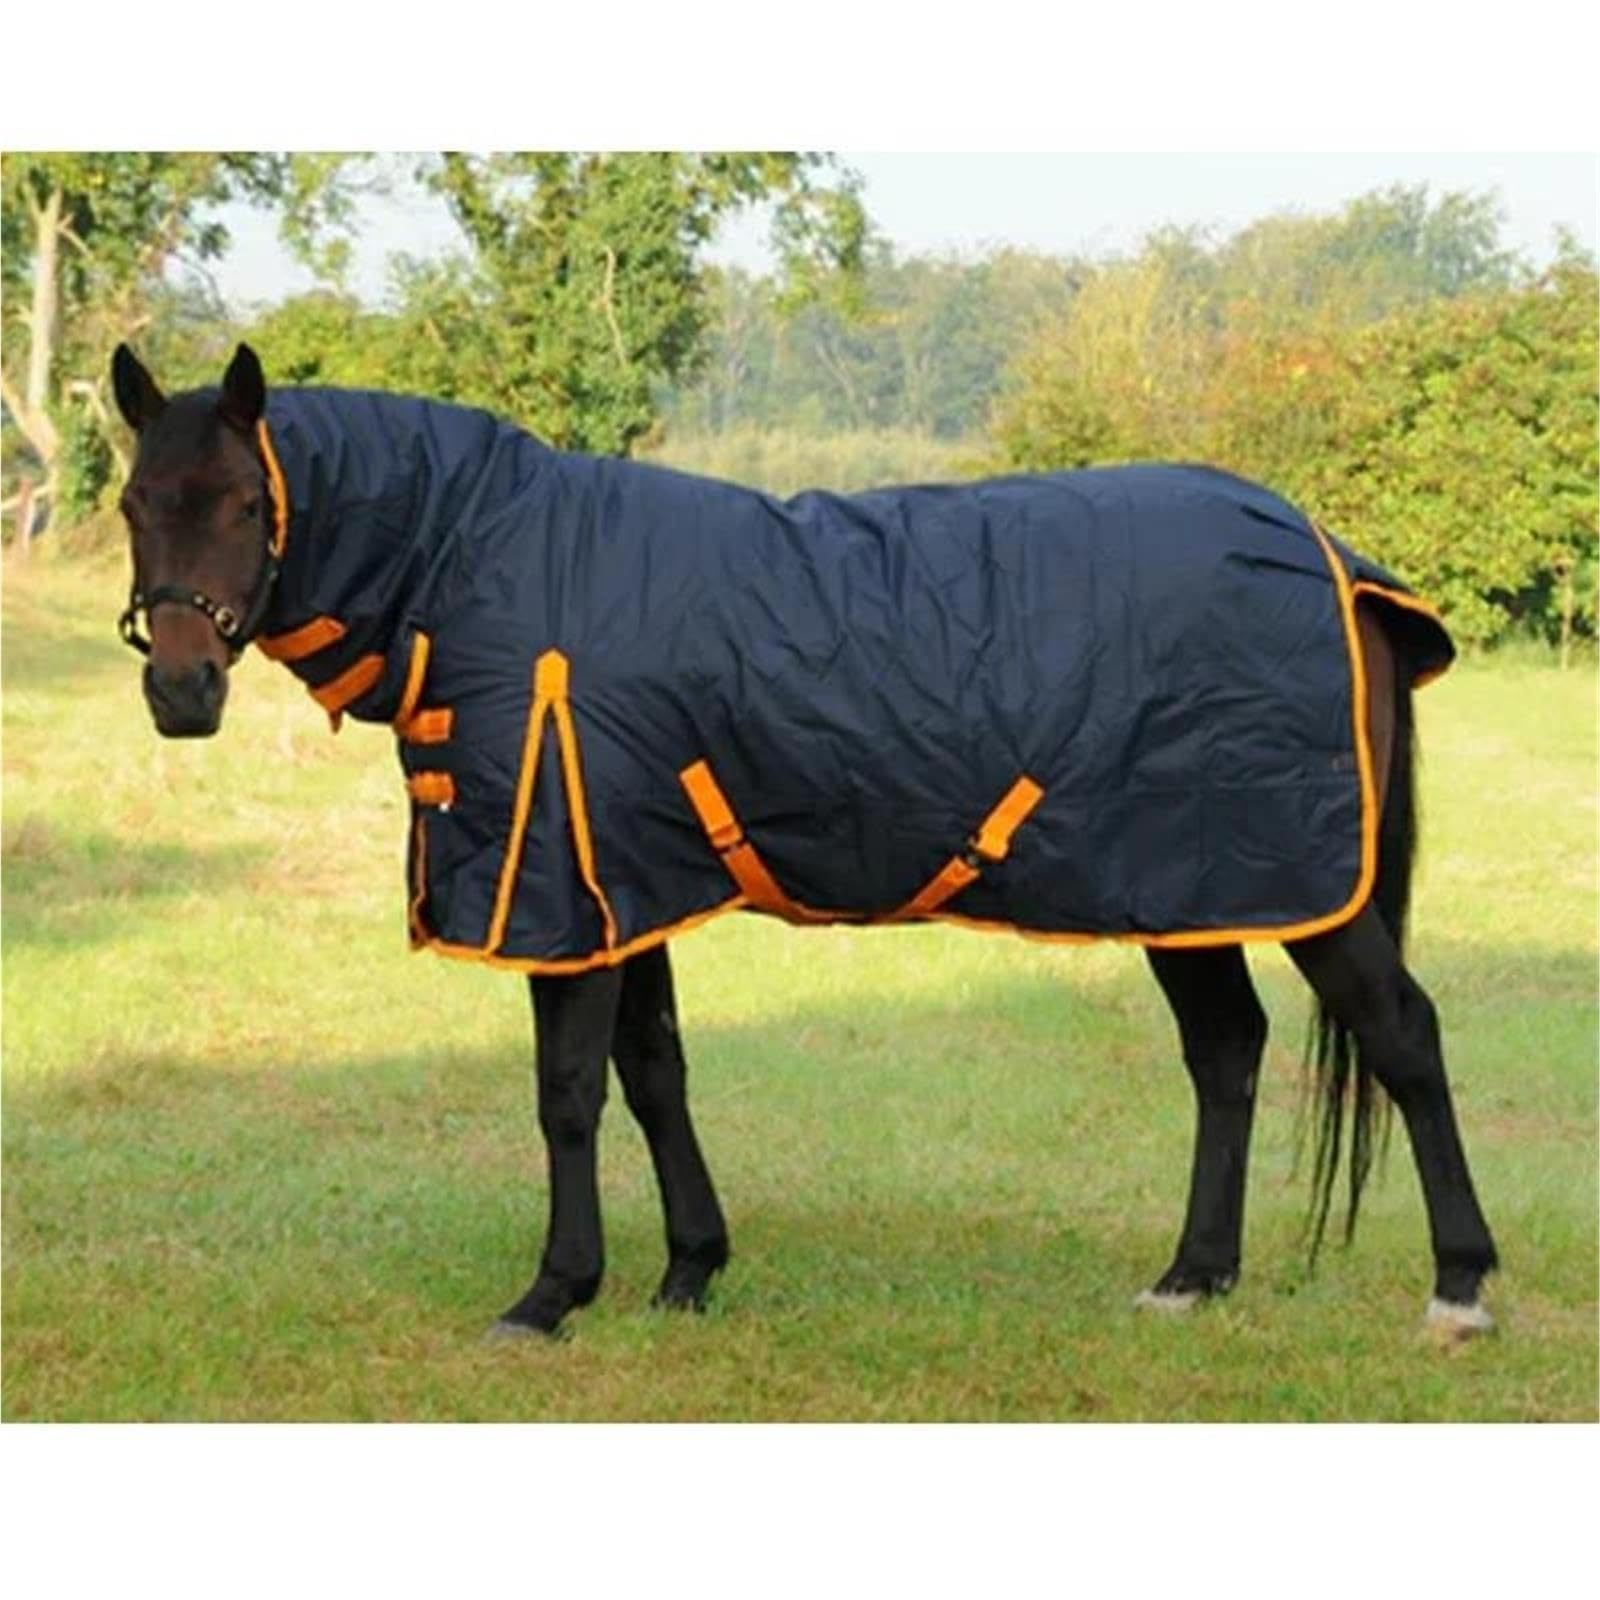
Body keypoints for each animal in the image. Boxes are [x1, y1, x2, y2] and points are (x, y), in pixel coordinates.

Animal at [109, 341, 1500, 1341]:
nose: (179, 694)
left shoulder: (563, 888)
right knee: (1225, 1052)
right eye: (134, 501)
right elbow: (654, 1075)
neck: (482, 558)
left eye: (246, 500)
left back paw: (1459, 1288)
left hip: (1299, 885)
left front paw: (554, 1293)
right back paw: (1192, 1277)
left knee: (1402, 1036)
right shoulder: (628, 883)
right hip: (1186, 879)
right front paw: (688, 1271)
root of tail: (1335, 562)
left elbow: (567, 1093)